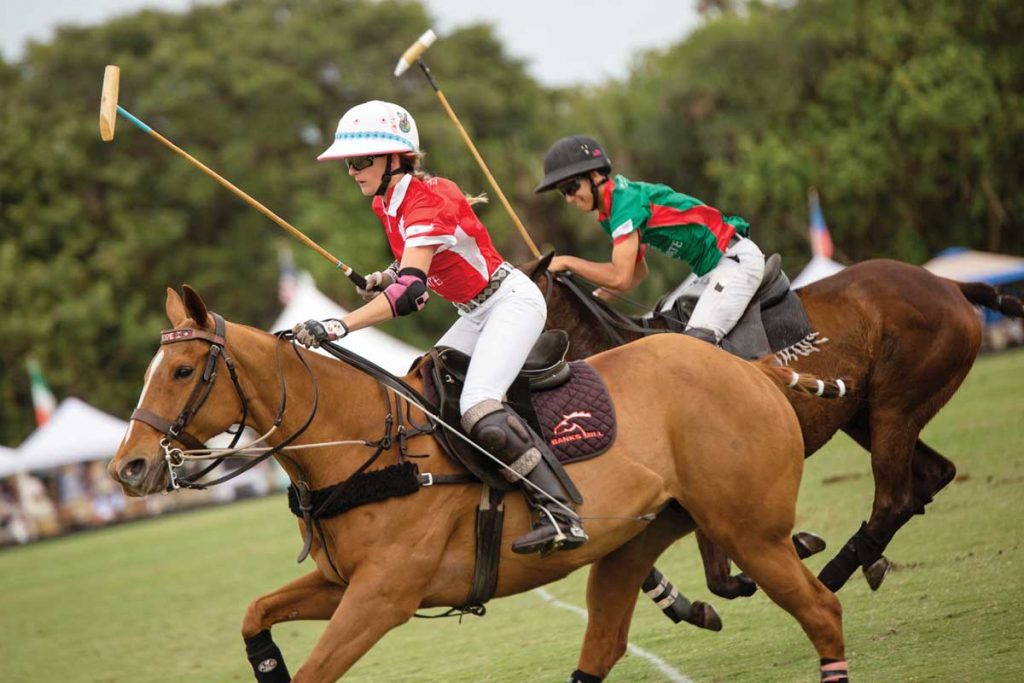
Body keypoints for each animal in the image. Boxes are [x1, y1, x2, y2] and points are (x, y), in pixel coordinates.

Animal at [110, 286, 847, 683]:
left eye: (181, 371)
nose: (129, 468)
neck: (359, 444)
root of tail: (750, 368)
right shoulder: (342, 583)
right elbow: (255, 613)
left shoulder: (384, 595)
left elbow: (317, 670)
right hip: (636, 539)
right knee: (606, 641)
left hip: (750, 527)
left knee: (820, 610)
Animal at [524, 253, 1019, 593]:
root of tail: (948, 282)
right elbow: (717, 577)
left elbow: (720, 572)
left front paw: (800, 548)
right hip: (865, 414)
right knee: (934, 474)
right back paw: (866, 559)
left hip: (894, 408)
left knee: (894, 498)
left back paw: (836, 573)